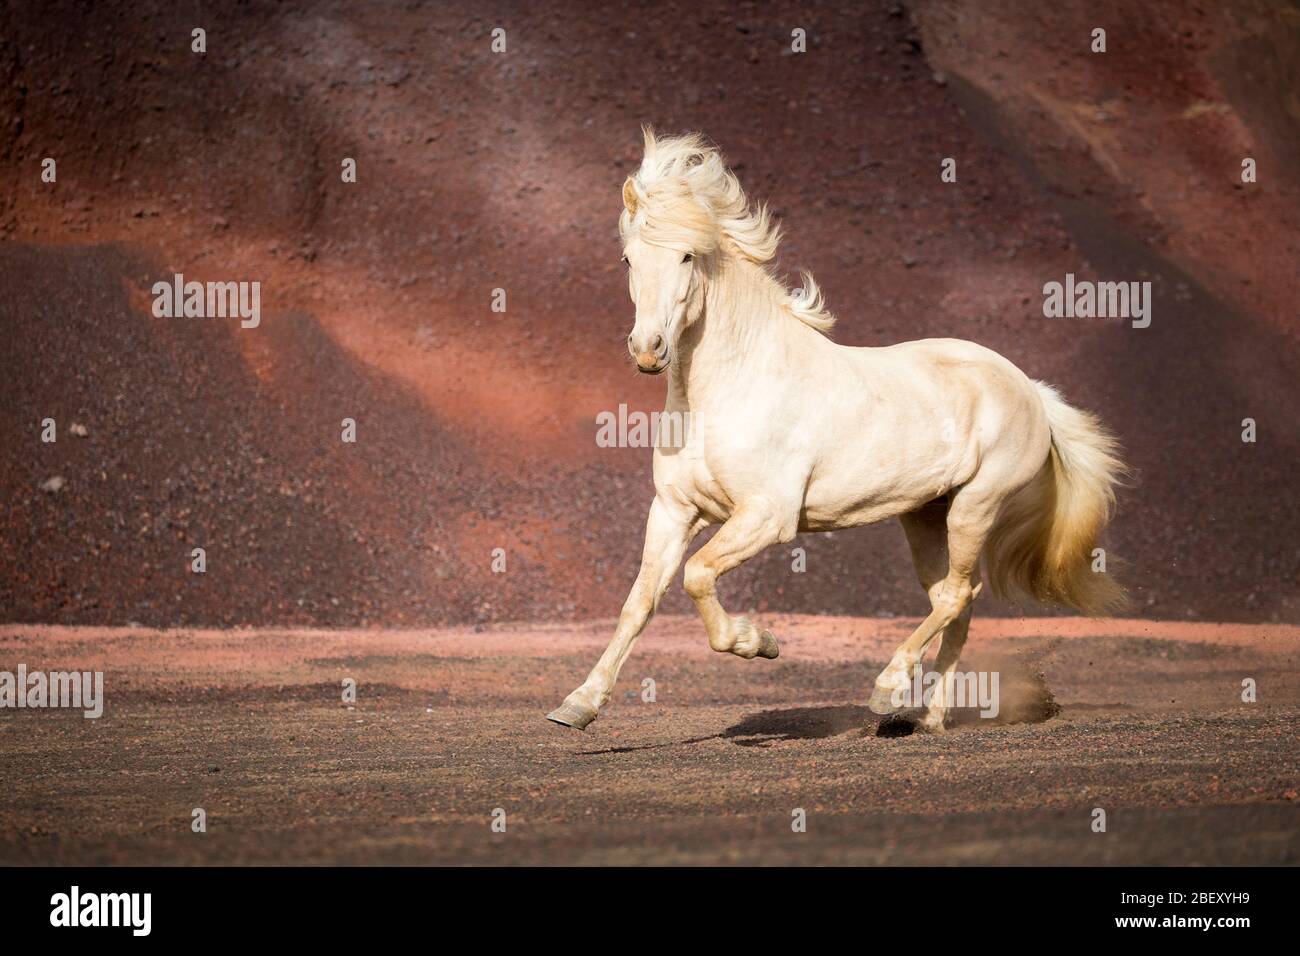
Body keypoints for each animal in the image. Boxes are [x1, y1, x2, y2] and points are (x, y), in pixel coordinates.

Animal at [543, 128, 1123, 733]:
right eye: (629, 258)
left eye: (687, 255)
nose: (648, 350)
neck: (732, 387)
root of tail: (1030, 388)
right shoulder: (675, 511)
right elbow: (639, 602)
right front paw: (578, 706)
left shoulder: (764, 516)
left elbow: (698, 576)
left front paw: (758, 642)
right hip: (925, 515)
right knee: (957, 600)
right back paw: (930, 720)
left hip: (976, 506)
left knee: (956, 595)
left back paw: (889, 690)